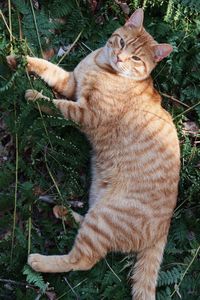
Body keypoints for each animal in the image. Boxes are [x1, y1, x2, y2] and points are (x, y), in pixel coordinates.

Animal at [7, 8, 180, 298]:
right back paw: (63, 211)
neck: (101, 65)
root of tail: (165, 228)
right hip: (97, 200)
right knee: (86, 224)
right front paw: (16, 59)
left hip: (105, 219)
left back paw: (38, 261)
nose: (120, 56)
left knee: (83, 259)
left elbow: (55, 104)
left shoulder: (85, 113)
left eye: (136, 58)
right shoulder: (70, 82)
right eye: (121, 42)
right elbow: (46, 67)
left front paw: (35, 96)